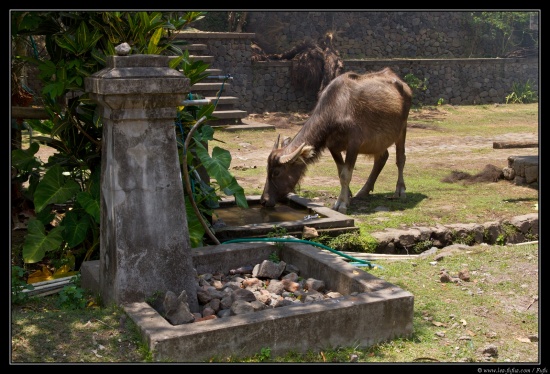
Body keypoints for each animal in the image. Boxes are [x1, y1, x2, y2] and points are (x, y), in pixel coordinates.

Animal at [260, 67, 412, 213]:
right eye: (267, 169)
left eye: (277, 172)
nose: (264, 200)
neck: (336, 109)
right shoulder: (333, 146)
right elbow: (340, 172)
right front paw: (348, 195)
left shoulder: (354, 144)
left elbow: (346, 174)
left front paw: (341, 203)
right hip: (378, 141)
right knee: (382, 157)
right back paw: (363, 191)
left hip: (402, 129)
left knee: (400, 158)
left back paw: (400, 190)